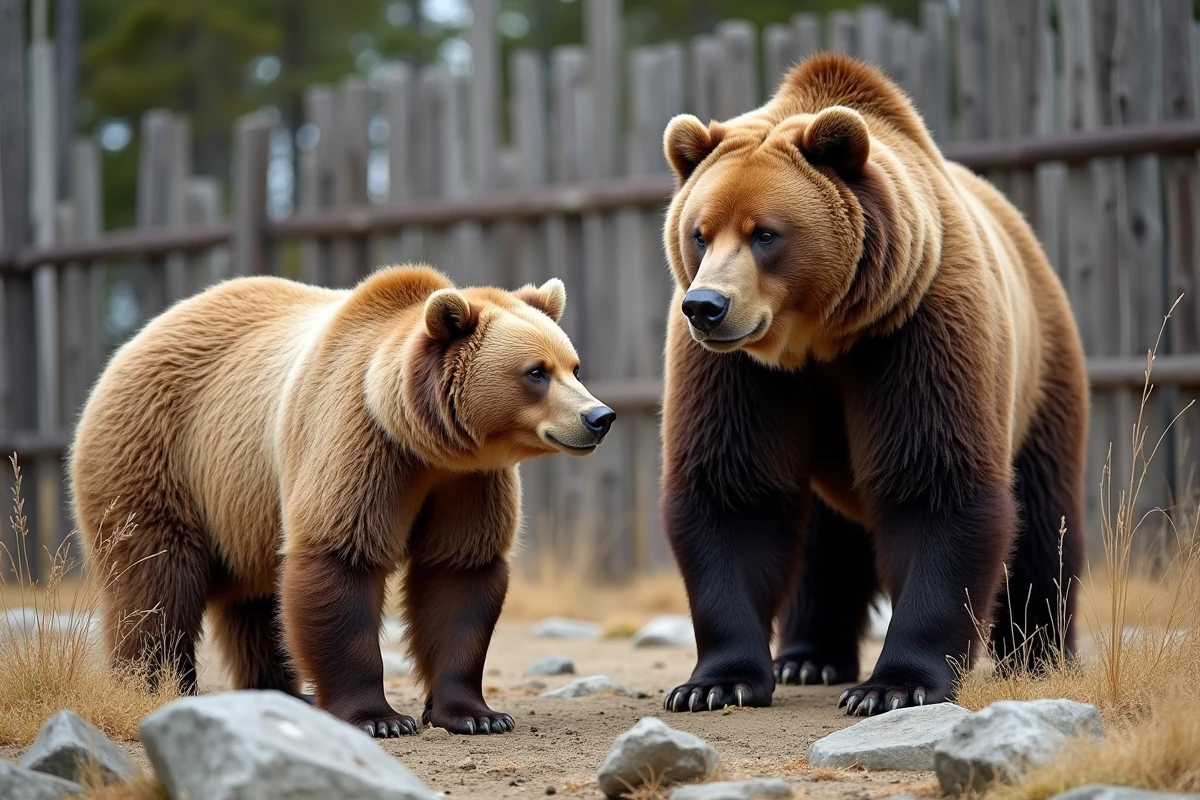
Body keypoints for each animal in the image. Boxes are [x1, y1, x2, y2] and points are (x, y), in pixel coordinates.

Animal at [68, 264, 615, 737]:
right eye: (536, 372)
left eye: (574, 366)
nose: (599, 416)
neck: (421, 442)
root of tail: (136, 340)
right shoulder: (357, 440)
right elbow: (340, 559)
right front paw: (379, 718)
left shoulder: (469, 481)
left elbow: (459, 576)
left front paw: (477, 714)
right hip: (159, 456)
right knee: (156, 580)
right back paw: (154, 687)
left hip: (243, 508)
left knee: (255, 603)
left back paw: (282, 693)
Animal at [657, 52, 1087, 716]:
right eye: (699, 232)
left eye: (765, 233)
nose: (707, 306)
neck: (820, 338)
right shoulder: (737, 373)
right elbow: (733, 492)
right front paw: (713, 683)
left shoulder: (916, 329)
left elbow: (935, 485)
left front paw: (892, 687)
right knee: (822, 541)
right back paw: (808, 655)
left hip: (1042, 373)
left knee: (1045, 520)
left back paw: (1038, 656)